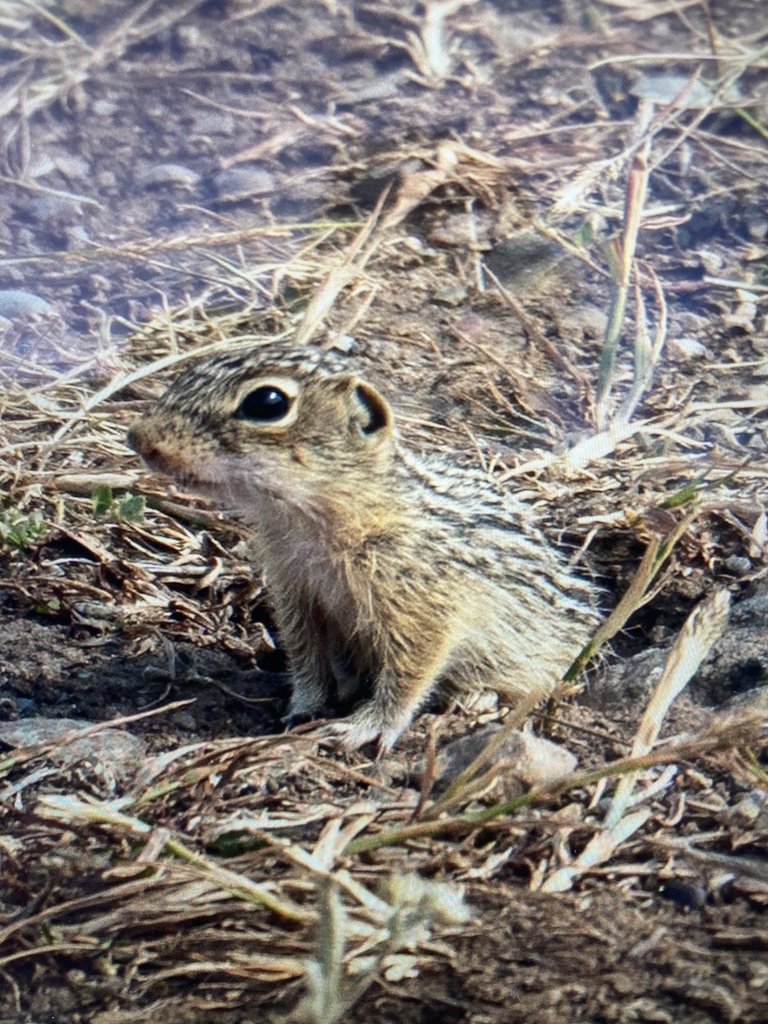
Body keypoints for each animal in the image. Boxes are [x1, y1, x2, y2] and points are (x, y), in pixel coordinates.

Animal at [129, 344, 598, 745]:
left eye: (268, 402)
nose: (139, 438)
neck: (318, 520)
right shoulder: (296, 595)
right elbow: (306, 659)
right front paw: (304, 707)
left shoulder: (426, 610)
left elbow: (408, 678)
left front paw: (366, 727)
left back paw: (478, 697)